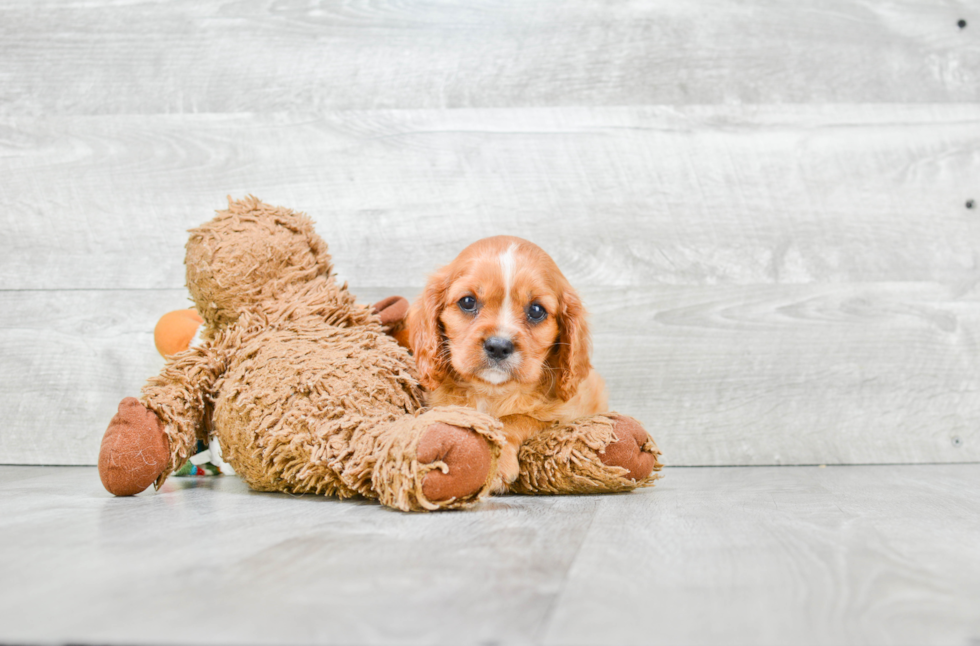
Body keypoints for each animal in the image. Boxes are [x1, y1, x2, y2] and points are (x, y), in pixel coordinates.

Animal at [404, 235, 604, 494]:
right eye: (467, 301)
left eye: (536, 310)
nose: (498, 346)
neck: (491, 391)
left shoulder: (565, 416)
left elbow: (515, 419)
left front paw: (496, 464)